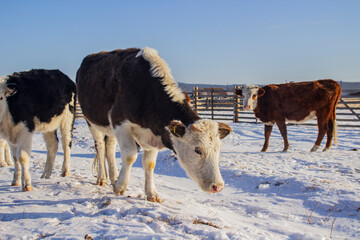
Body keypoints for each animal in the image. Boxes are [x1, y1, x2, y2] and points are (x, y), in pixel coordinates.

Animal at [77, 47, 232, 202]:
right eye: (198, 150)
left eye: (218, 149)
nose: (217, 186)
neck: (146, 91)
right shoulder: (119, 122)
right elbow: (130, 155)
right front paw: (120, 186)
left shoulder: (154, 132)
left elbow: (149, 164)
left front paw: (151, 193)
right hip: (91, 122)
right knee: (100, 146)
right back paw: (102, 178)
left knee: (109, 146)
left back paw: (114, 177)